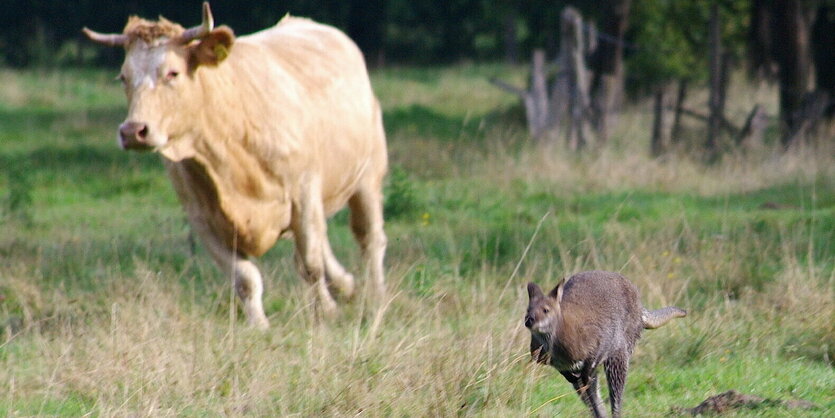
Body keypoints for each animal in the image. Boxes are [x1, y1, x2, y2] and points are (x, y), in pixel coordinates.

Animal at [81, 2, 388, 330]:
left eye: (172, 73)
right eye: (123, 77)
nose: (133, 131)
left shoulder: (303, 191)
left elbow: (310, 263)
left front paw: (326, 312)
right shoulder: (203, 218)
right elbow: (245, 278)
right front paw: (259, 326)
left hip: (368, 176)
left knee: (369, 239)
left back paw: (376, 297)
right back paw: (346, 285)